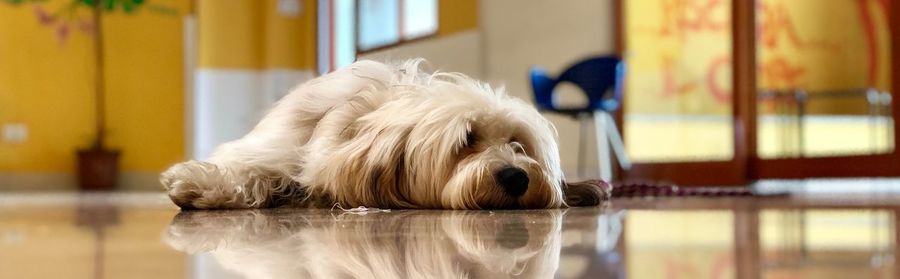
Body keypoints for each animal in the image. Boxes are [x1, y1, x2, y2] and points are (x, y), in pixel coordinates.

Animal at [162, 59, 612, 210]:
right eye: (467, 140)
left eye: (518, 143)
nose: (516, 176)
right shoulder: (283, 147)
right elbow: (250, 168)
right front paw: (200, 184)